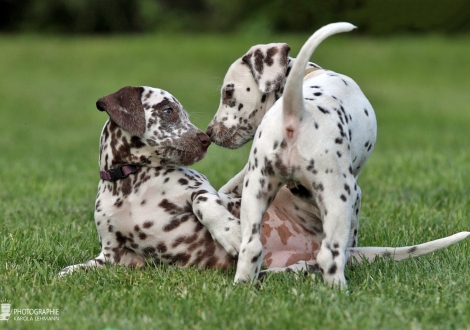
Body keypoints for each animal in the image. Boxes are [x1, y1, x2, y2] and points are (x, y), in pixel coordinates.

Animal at [59, 86, 242, 274]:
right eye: (168, 110)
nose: (207, 139)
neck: (129, 181)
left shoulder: (199, 186)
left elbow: (203, 202)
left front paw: (231, 233)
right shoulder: (112, 256)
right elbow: (72, 269)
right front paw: (65, 273)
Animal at [207, 22, 468, 286]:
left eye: (228, 93)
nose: (209, 132)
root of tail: (296, 112)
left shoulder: (250, 175)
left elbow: (228, 186)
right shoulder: (355, 195)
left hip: (257, 189)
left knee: (251, 247)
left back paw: (243, 283)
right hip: (338, 195)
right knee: (330, 255)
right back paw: (338, 288)